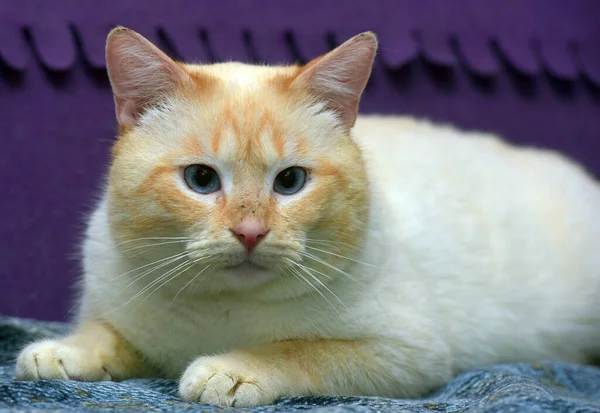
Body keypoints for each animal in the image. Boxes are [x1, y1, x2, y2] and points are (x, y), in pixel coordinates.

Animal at [15, 27, 600, 408]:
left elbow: (297, 350)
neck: (222, 310)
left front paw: (230, 370)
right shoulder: (117, 311)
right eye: (201, 180)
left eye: (290, 182)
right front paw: (59, 354)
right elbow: (103, 335)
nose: (250, 233)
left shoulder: (405, 353)